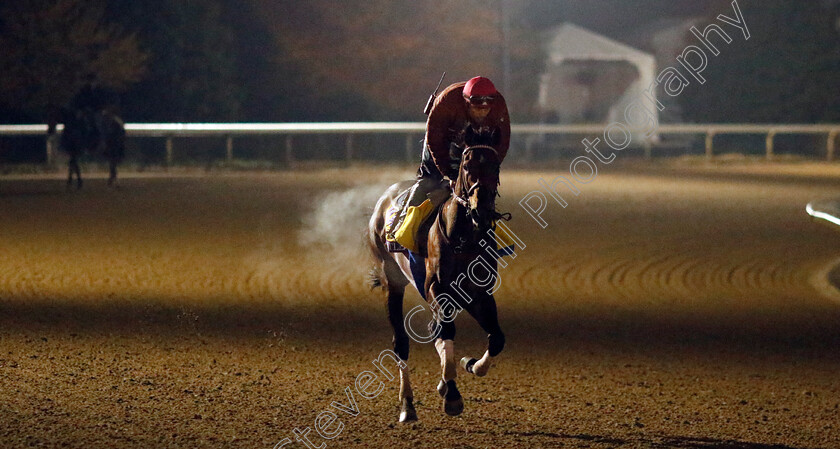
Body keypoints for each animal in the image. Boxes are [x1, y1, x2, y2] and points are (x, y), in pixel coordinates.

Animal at [366, 128, 506, 422]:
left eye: (495, 166)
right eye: (467, 165)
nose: (481, 209)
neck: (464, 237)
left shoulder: (480, 294)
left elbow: (496, 338)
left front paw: (470, 365)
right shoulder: (437, 289)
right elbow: (447, 330)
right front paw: (452, 395)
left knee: (435, 329)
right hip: (392, 281)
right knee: (401, 342)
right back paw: (407, 404)